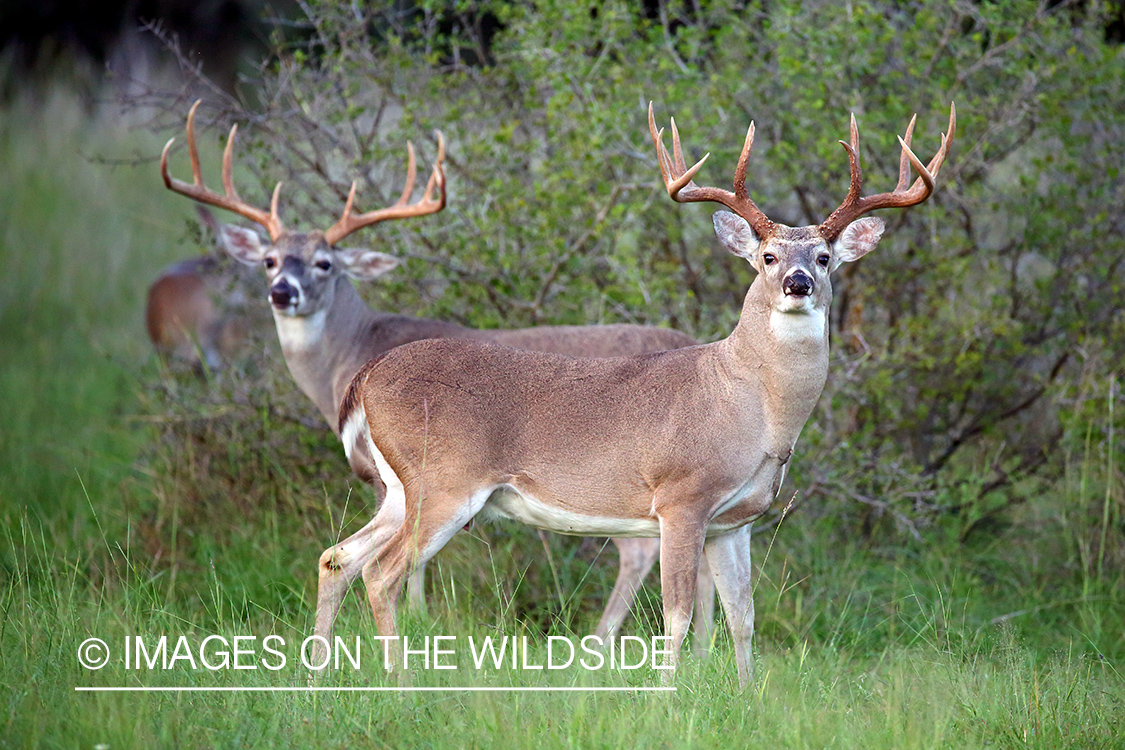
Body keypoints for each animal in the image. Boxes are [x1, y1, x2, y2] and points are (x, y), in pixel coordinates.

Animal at [160, 101, 711, 656]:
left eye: (325, 263)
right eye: (269, 260)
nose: (282, 292)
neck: (351, 353)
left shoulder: (386, 476)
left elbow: (412, 569)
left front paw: (419, 624)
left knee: (639, 551)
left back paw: (599, 642)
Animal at [328, 102, 954, 688]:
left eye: (824, 258)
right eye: (768, 257)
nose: (797, 283)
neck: (753, 408)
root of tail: (368, 375)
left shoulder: (736, 522)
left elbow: (743, 616)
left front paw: (747, 696)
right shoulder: (681, 498)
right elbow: (677, 615)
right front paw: (667, 698)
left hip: (399, 488)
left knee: (338, 557)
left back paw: (320, 672)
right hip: (445, 482)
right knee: (381, 572)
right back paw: (400, 682)